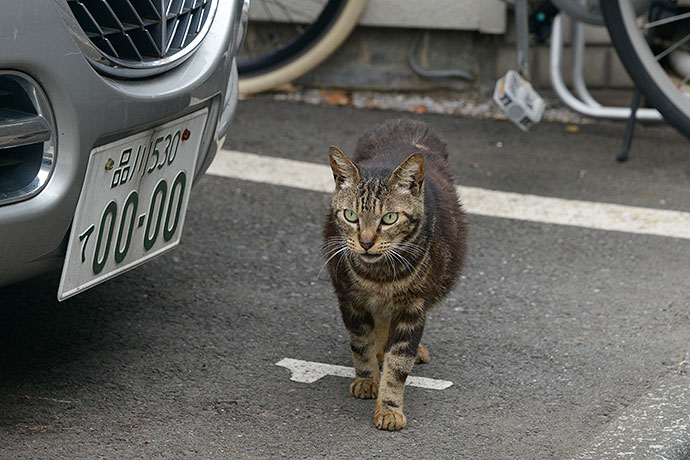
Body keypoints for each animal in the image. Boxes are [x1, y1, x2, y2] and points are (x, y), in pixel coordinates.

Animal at [322, 118, 462, 432]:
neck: (380, 278)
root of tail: (406, 121)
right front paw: (366, 380)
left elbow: (398, 365)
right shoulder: (350, 299)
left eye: (389, 218)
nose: (365, 242)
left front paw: (389, 408)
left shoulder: (413, 310)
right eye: (350, 216)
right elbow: (361, 343)